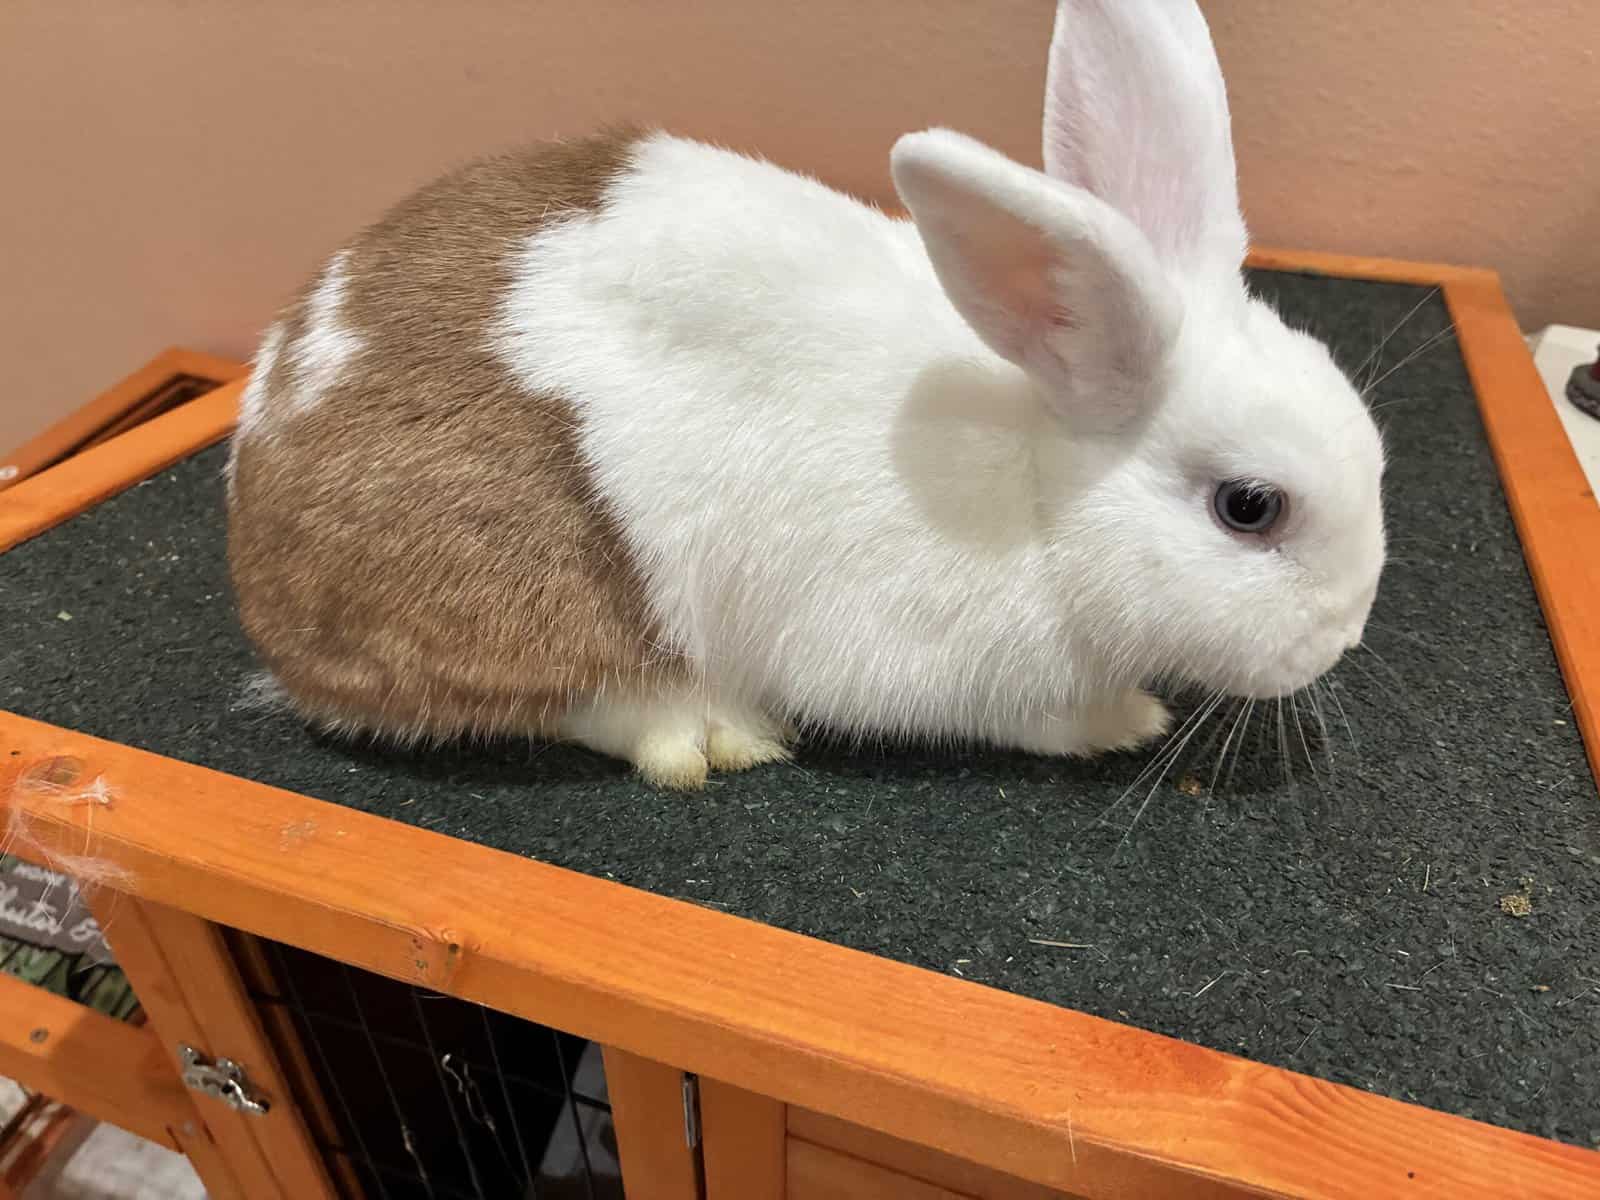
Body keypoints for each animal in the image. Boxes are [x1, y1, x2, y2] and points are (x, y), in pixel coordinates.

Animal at [226, 0, 1386, 790]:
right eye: (1249, 507)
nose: (1338, 639)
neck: (1038, 487)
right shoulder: (926, 661)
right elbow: (1020, 715)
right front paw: (1121, 722)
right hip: (539, 593)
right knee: (578, 698)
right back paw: (708, 732)